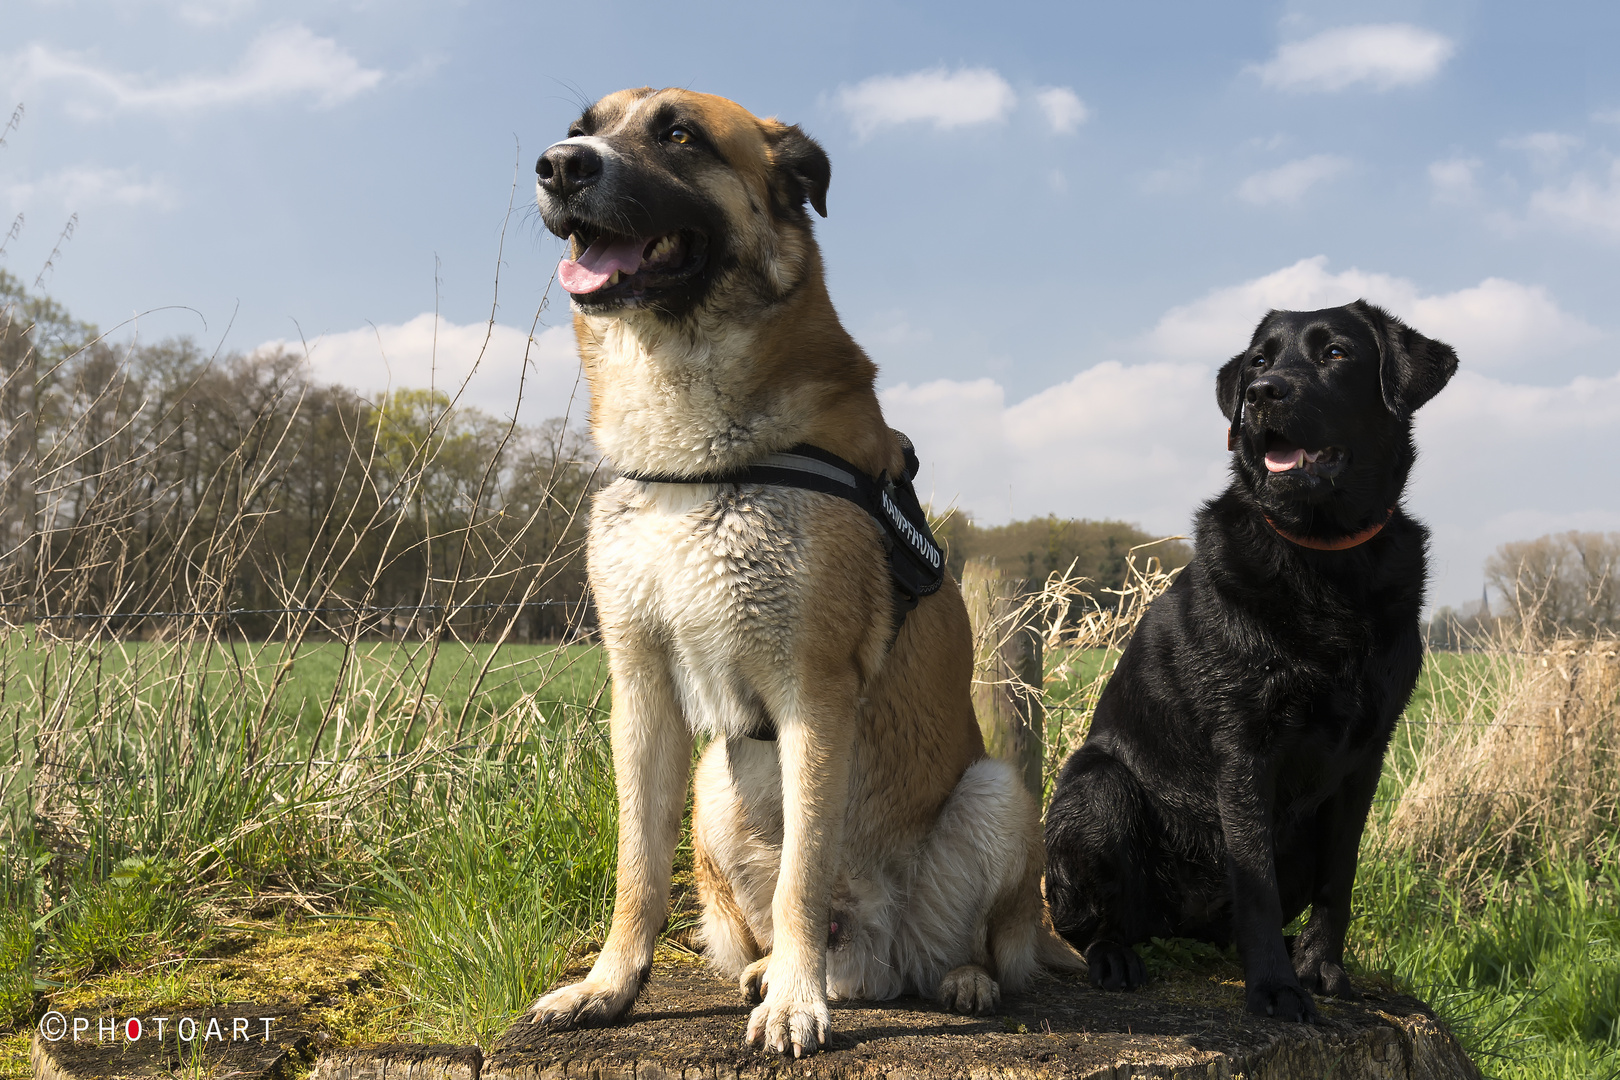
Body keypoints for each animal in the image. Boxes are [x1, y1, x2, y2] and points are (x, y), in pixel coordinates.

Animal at [528, 90, 1075, 1055]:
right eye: (585, 125)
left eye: (680, 135)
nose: (558, 164)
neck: (690, 458)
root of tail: (874, 962)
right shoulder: (641, 691)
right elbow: (638, 869)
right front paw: (609, 986)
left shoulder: (813, 697)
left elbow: (802, 876)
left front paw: (793, 1002)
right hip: (714, 784)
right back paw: (763, 972)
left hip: (998, 793)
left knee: (993, 943)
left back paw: (953, 980)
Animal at [1043, 299, 1464, 1016]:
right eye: (1260, 361)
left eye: (1337, 353)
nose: (1264, 393)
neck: (1325, 560)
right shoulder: (1245, 745)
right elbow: (1256, 882)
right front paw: (1274, 989)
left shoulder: (1367, 756)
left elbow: (1339, 878)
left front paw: (1323, 971)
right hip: (1097, 789)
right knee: (1092, 922)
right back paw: (1115, 956)